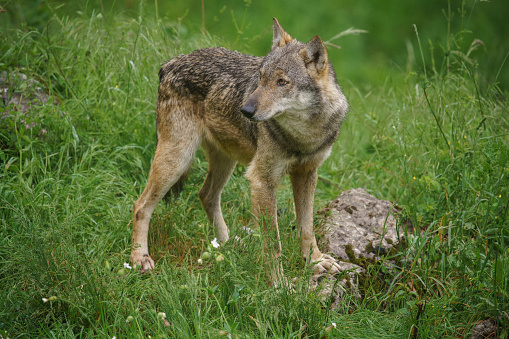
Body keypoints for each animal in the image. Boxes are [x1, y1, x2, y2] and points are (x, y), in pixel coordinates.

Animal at [129, 17, 348, 284]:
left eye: (282, 82)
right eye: (261, 77)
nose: (245, 110)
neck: (304, 135)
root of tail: (171, 63)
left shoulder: (307, 173)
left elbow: (307, 227)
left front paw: (315, 262)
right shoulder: (263, 181)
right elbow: (273, 244)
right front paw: (280, 285)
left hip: (225, 162)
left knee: (206, 195)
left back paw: (229, 245)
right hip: (178, 159)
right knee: (141, 206)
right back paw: (140, 258)